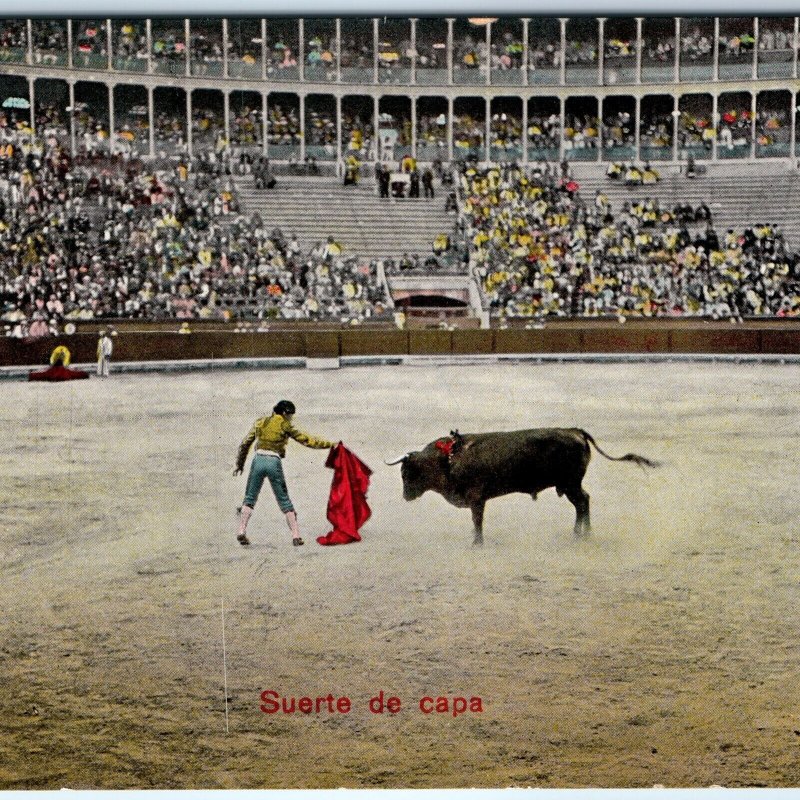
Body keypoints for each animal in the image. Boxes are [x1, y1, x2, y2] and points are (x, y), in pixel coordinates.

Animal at [386, 428, 656, 548]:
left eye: (405, 473)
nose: (405, 496)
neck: (448, 459)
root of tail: (574, 431)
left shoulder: (476, 498)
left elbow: (477, 520)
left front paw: (477, 543)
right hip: (570, 484)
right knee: (584, 501)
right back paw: (582, 533)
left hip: (570, 484)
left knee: (582, 503)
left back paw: (580, 534)